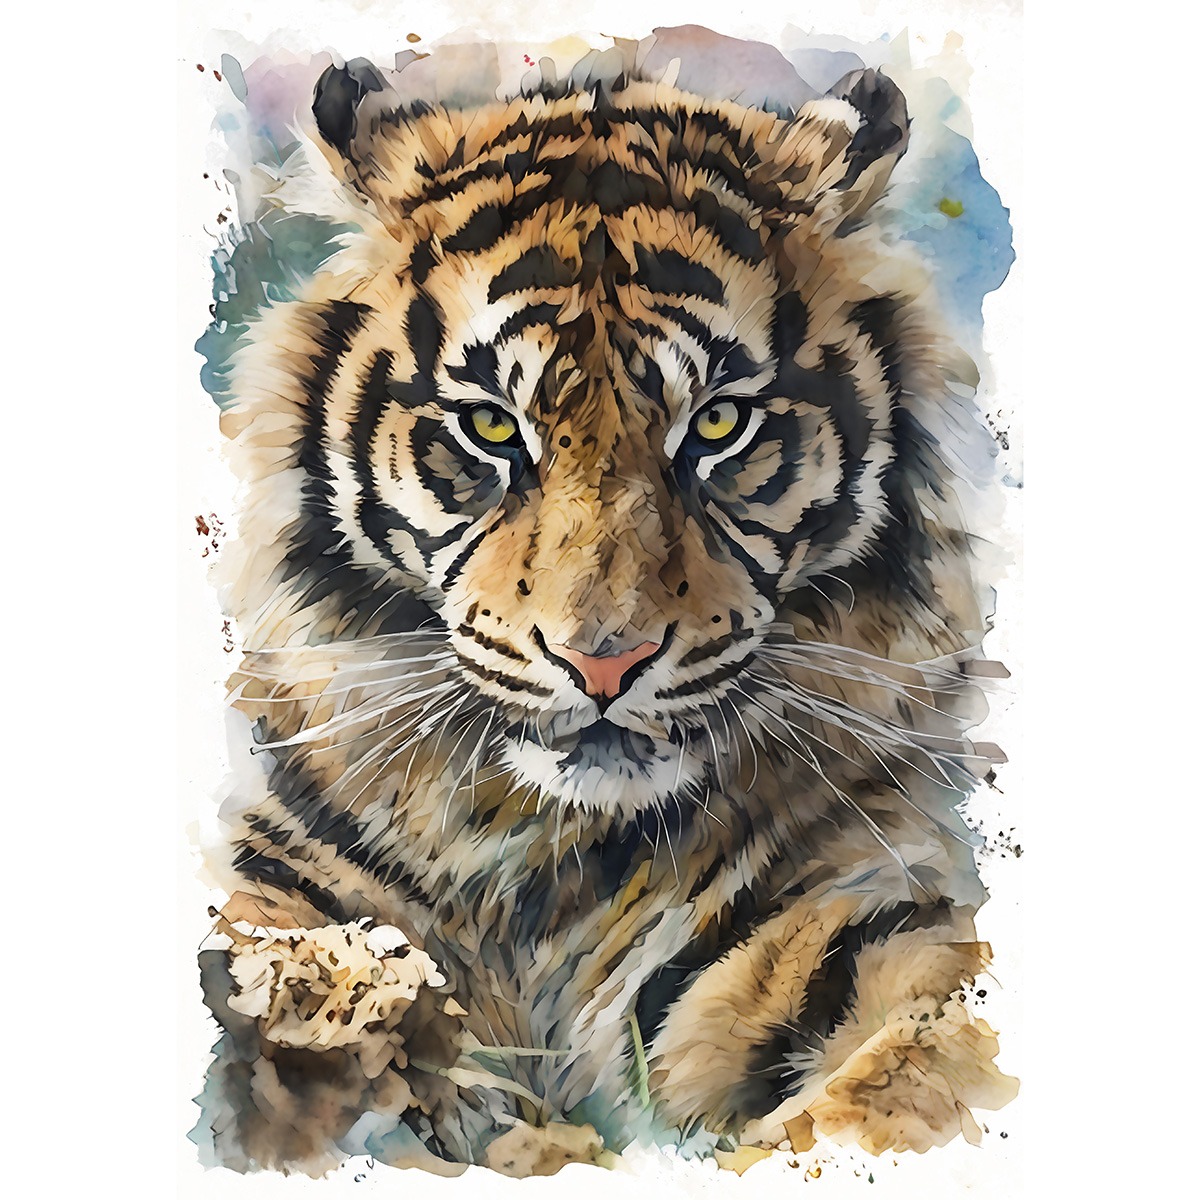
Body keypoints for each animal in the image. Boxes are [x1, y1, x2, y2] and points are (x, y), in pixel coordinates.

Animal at [194, 51, 1018, 1178]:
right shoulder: (290, 885)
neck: (545, 857)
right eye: (493, 429)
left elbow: (916, 1059)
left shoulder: (852, 904)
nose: (602, 664)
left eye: (718, 424)